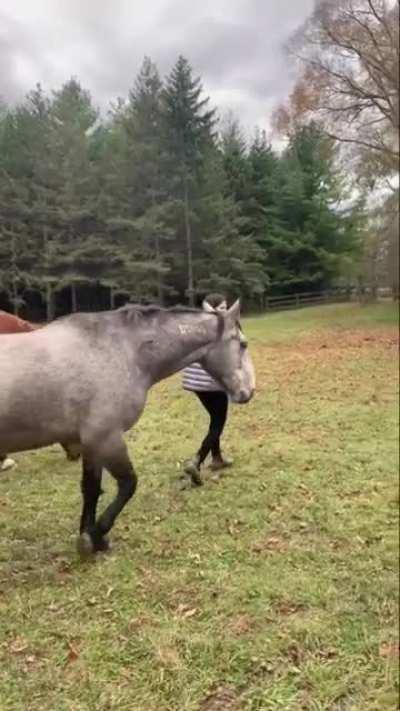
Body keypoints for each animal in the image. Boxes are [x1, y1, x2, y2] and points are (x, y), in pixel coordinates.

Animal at [0, 300, 255, 554]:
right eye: (243, 344)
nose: (249, 391)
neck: (122, 351)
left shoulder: (91, 442)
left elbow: (91, 489)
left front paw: (90, 537)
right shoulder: (107, 438)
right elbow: (128, 484)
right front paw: (96, 533)